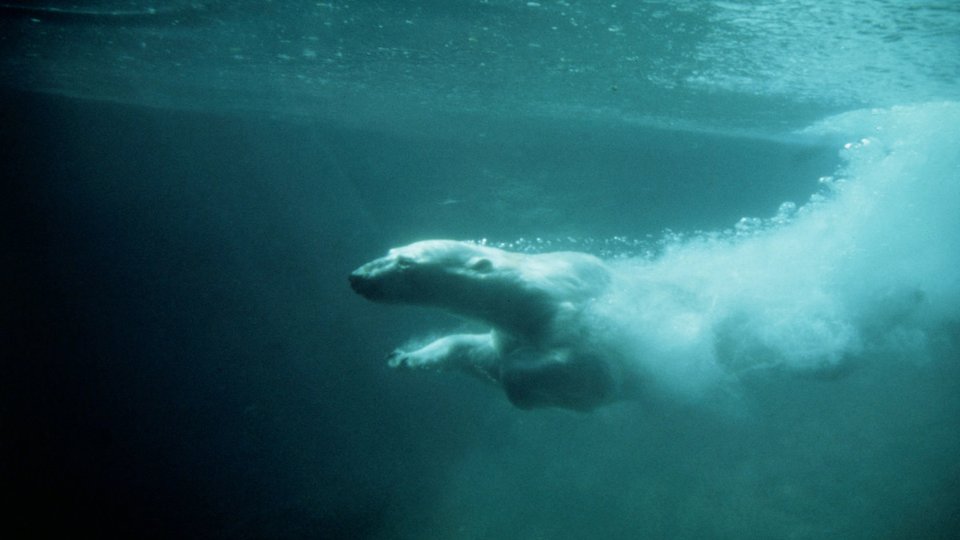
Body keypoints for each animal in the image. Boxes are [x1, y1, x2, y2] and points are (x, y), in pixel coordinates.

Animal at [348, 240, 642, 411]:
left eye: (405, 262)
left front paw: (518, 378)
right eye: (392, 252)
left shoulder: (579, 320)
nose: (357, 277)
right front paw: (403, 357)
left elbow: (599, 373)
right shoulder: (507, 331)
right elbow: (473, 350)